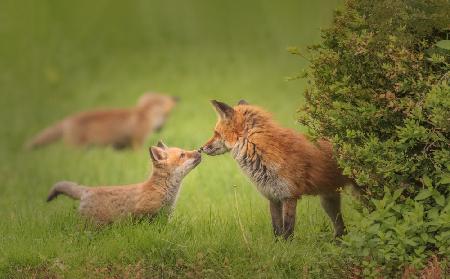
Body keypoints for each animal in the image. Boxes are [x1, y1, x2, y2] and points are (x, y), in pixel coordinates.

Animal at [25, 93, 178, 151]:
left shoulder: (121, 146)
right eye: (167, 116)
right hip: (76, 147)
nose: (160, 129)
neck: (143, 113)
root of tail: (68, 119)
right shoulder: (137, 141)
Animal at [202, 100, 354, 241]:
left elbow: (288, 230)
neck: (261, 151)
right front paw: (277, 246)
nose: (201, 148)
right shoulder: (273, 196)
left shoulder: (289, 195)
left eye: (216, 133)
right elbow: (276, 229)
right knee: (342, 230)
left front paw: (287, 248)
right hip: (328, 201)